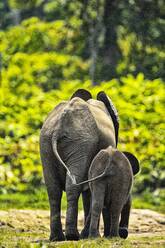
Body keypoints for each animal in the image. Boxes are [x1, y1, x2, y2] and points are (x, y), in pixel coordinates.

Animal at [40, 88, 139, 240]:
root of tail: (59, 126)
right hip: (80, 142)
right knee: (73, 185)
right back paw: (72, 235)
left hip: (47, 142)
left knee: (53, 189)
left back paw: (57, 238)